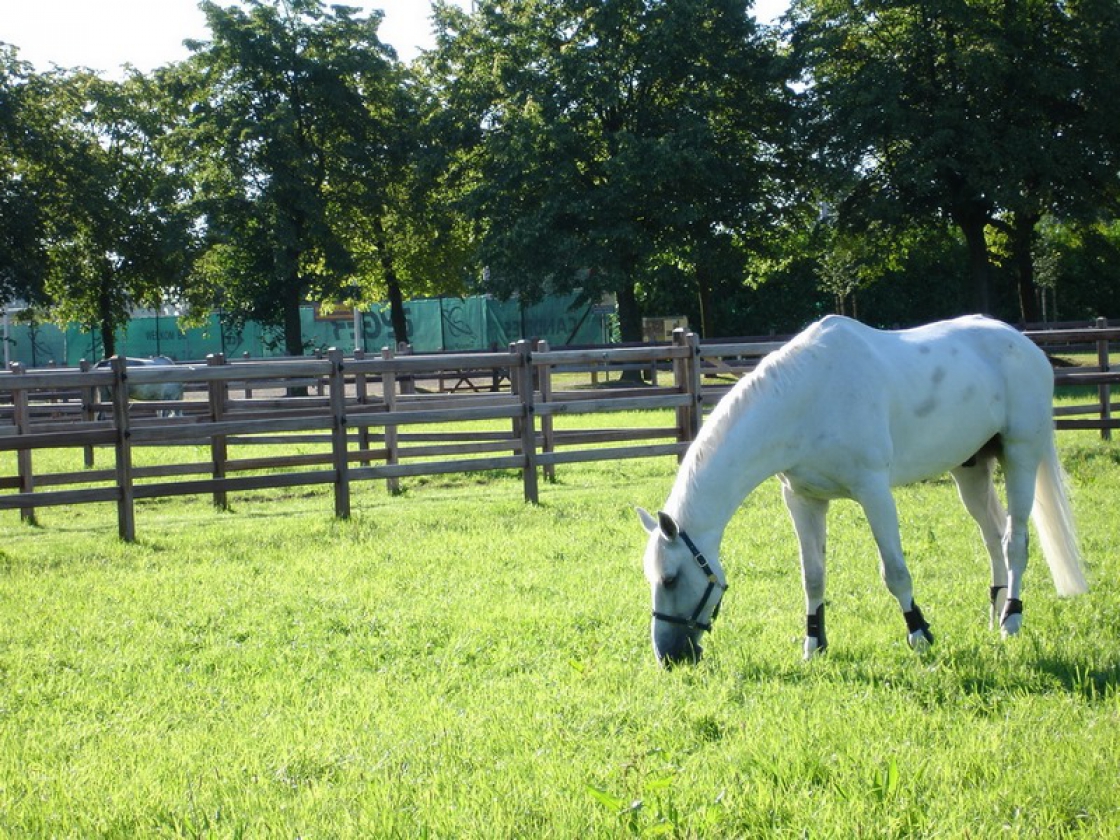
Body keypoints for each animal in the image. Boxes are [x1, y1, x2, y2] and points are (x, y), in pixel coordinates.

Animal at [638, 314, 1088, 667]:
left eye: (671, 579)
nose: (668, 657)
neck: (807, 399)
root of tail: (1023, 343)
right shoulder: (803, 500)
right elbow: (813, 577)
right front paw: (813, 645)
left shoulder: (873, 491)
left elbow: (896, 572)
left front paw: (920, 635)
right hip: (971, 469)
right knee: (993, 537)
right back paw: (995, 615)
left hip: (1021, 454)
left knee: (1016, 542)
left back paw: (1011, 620)